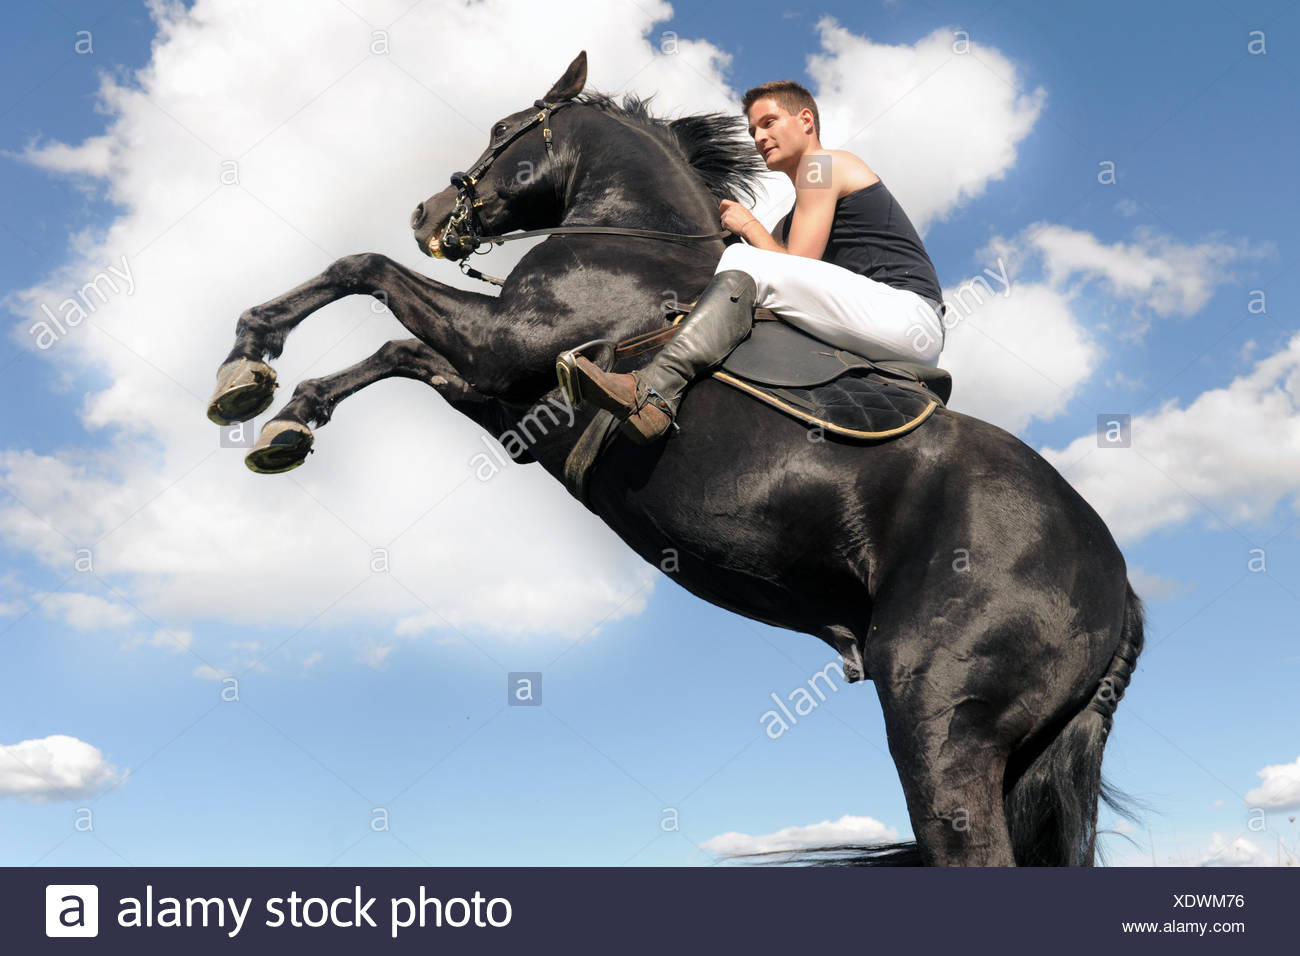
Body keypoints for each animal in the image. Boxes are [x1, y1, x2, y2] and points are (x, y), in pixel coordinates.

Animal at [207, 51, 1144, 866]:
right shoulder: (499, 386)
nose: (427, 215)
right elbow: (394, 351)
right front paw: (286, 419)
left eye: (503, 129)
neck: (635, 235)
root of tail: (1118, 589)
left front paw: (247, 360)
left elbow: (362, 269)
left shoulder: (505, 343)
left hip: (939, 720)